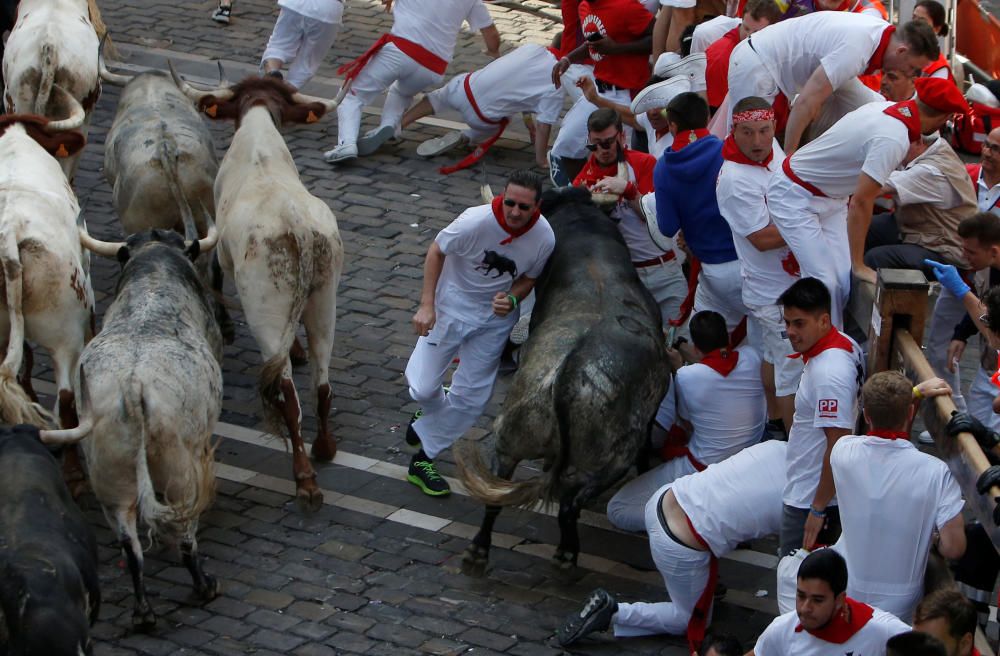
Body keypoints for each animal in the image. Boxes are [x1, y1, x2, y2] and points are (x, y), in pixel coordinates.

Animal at [41, 226, 223, 632]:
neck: (154, 274)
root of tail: (132, 384)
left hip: (110, 477)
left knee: (130, 545)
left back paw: (143, 612)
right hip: (178, 472)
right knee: (184, 531)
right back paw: (203, 586)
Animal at [458, 186, 668, 576]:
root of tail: (567, 375)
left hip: (510, 435)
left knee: (498, 488)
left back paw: (479, 549)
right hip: (607, 458)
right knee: (571, 505)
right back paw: (566, 555)